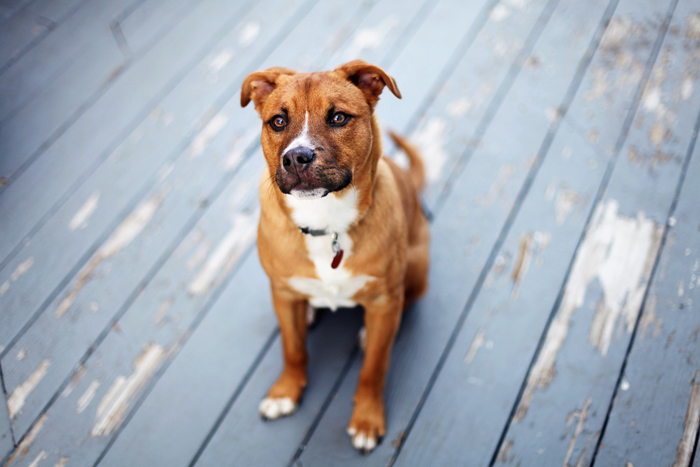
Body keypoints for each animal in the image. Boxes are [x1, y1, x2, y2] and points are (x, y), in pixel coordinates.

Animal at [242, 58, 432, 454]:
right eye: (277, 121)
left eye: (339, 117)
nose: (296, 157)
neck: (325, 222)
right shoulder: (282, 293)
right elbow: (293, 349)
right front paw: (285, 392)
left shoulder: (384, 299)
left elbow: (374, 368)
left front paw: (367, 419)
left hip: (416, 268)